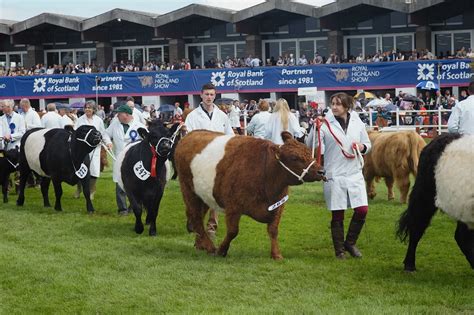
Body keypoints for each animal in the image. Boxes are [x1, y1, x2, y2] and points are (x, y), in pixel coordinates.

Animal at [174, 130, 326, 260]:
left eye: (309, 152)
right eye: (294, 157)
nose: (322, 171)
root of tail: (190, 135)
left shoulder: (278, 206)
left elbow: (273, 230)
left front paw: (276, 254)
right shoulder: (233, 206)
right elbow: (233, 231)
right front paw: (222, 250)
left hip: (204, 195)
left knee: (199, 217)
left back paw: (200, 245)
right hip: (188, 189)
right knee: (196, 218)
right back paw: (210, 247)